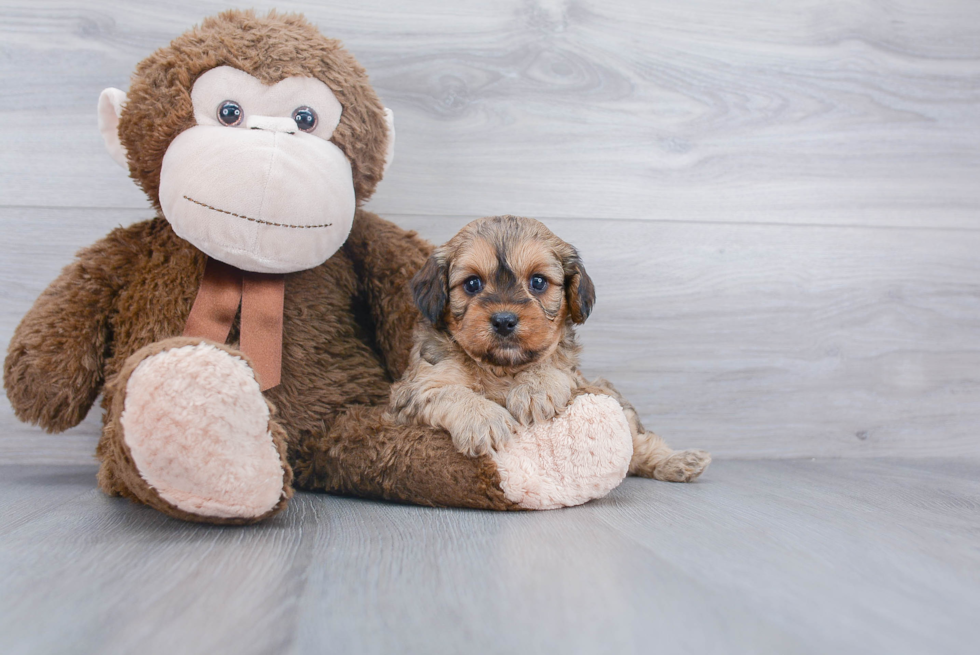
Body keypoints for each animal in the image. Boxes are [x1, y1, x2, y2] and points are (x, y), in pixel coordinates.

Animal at [390, 215, 712, 482]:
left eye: (538, 281)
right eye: (472, 284)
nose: (504, 320)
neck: (501, 369)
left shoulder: (576, 375)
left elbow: (551, 363)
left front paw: (534, 389)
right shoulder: (412, 391)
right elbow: (449, 392)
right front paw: (484, 419)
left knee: (640, 443)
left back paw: (677, 461)